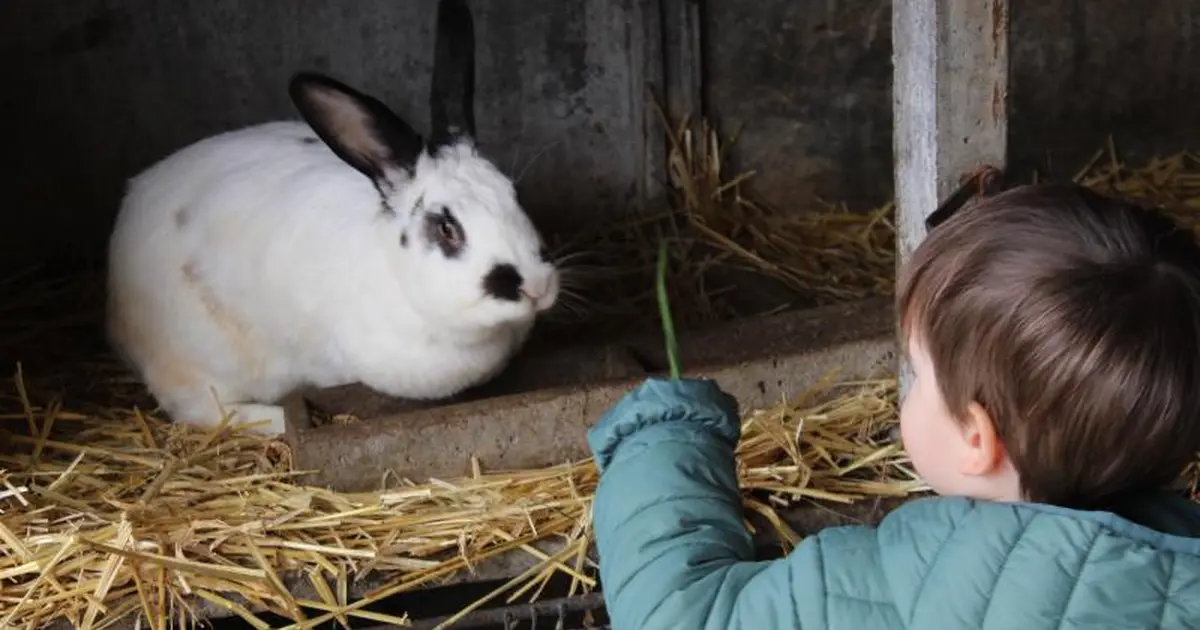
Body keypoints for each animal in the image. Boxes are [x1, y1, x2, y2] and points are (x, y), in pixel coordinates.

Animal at [105, 0, 559, 436]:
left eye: (515, 195)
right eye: (447, 228)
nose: (536, 286)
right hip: (197, 362)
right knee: (205, 411)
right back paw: (275, 420)